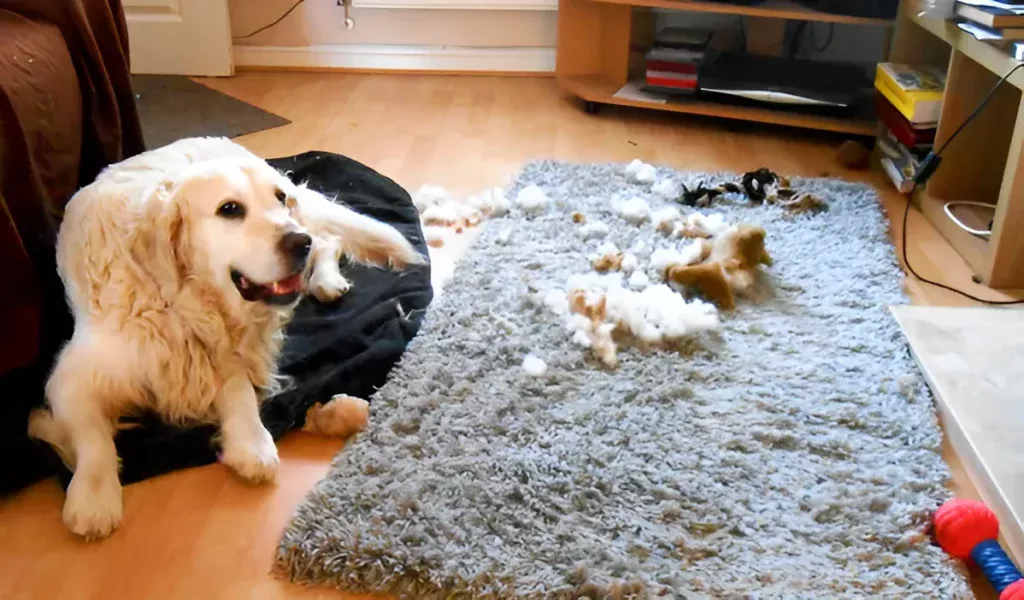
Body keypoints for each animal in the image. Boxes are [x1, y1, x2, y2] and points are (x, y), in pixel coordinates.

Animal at [28, 136, 421, 536]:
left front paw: (250, 441)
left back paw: (326, 279)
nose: (299, 242)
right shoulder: (71, 379)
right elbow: (93, 438)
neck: (180, 304)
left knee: (330, 239)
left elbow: (237, 386)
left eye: (279, 197)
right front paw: (93, 497)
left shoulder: (228, 348)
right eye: (229, 209)